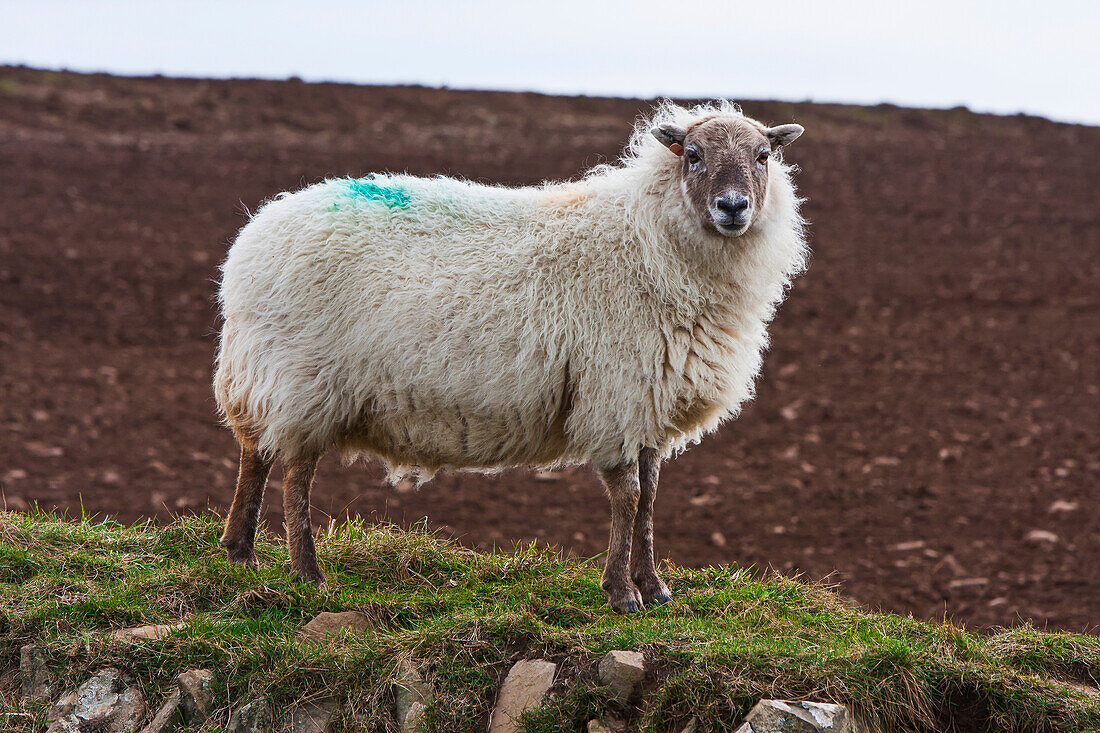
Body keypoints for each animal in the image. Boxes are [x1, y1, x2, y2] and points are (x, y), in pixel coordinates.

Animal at [214, 98, 809, 611]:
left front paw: (654, 586)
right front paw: (622, 594)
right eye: (693, 155)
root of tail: (253, 240)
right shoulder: (616, 395)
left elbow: (650, 497)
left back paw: (239, 552)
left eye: (763, 156)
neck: (647, 245)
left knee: (254, 451)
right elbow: (627, 496)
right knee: (295, 471)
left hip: (264, 372)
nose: (733, 207)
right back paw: (307, 573)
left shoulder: (649, 400)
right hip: (302, 376)